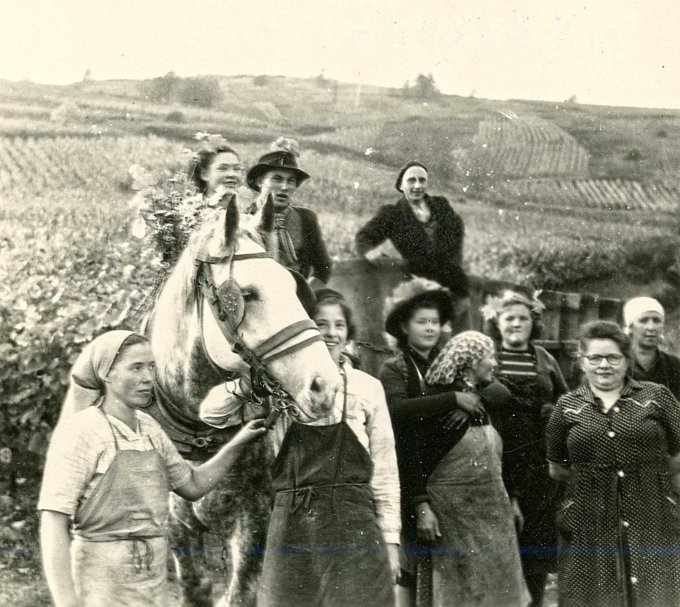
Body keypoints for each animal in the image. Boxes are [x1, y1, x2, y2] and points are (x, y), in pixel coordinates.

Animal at [147, 197, 340, 604]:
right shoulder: (177, 524)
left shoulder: (255, 521)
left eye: (294, 289)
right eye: (248, 293)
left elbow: (241, 593)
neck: (201, 433)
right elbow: (196, 588)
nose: (324, 385)